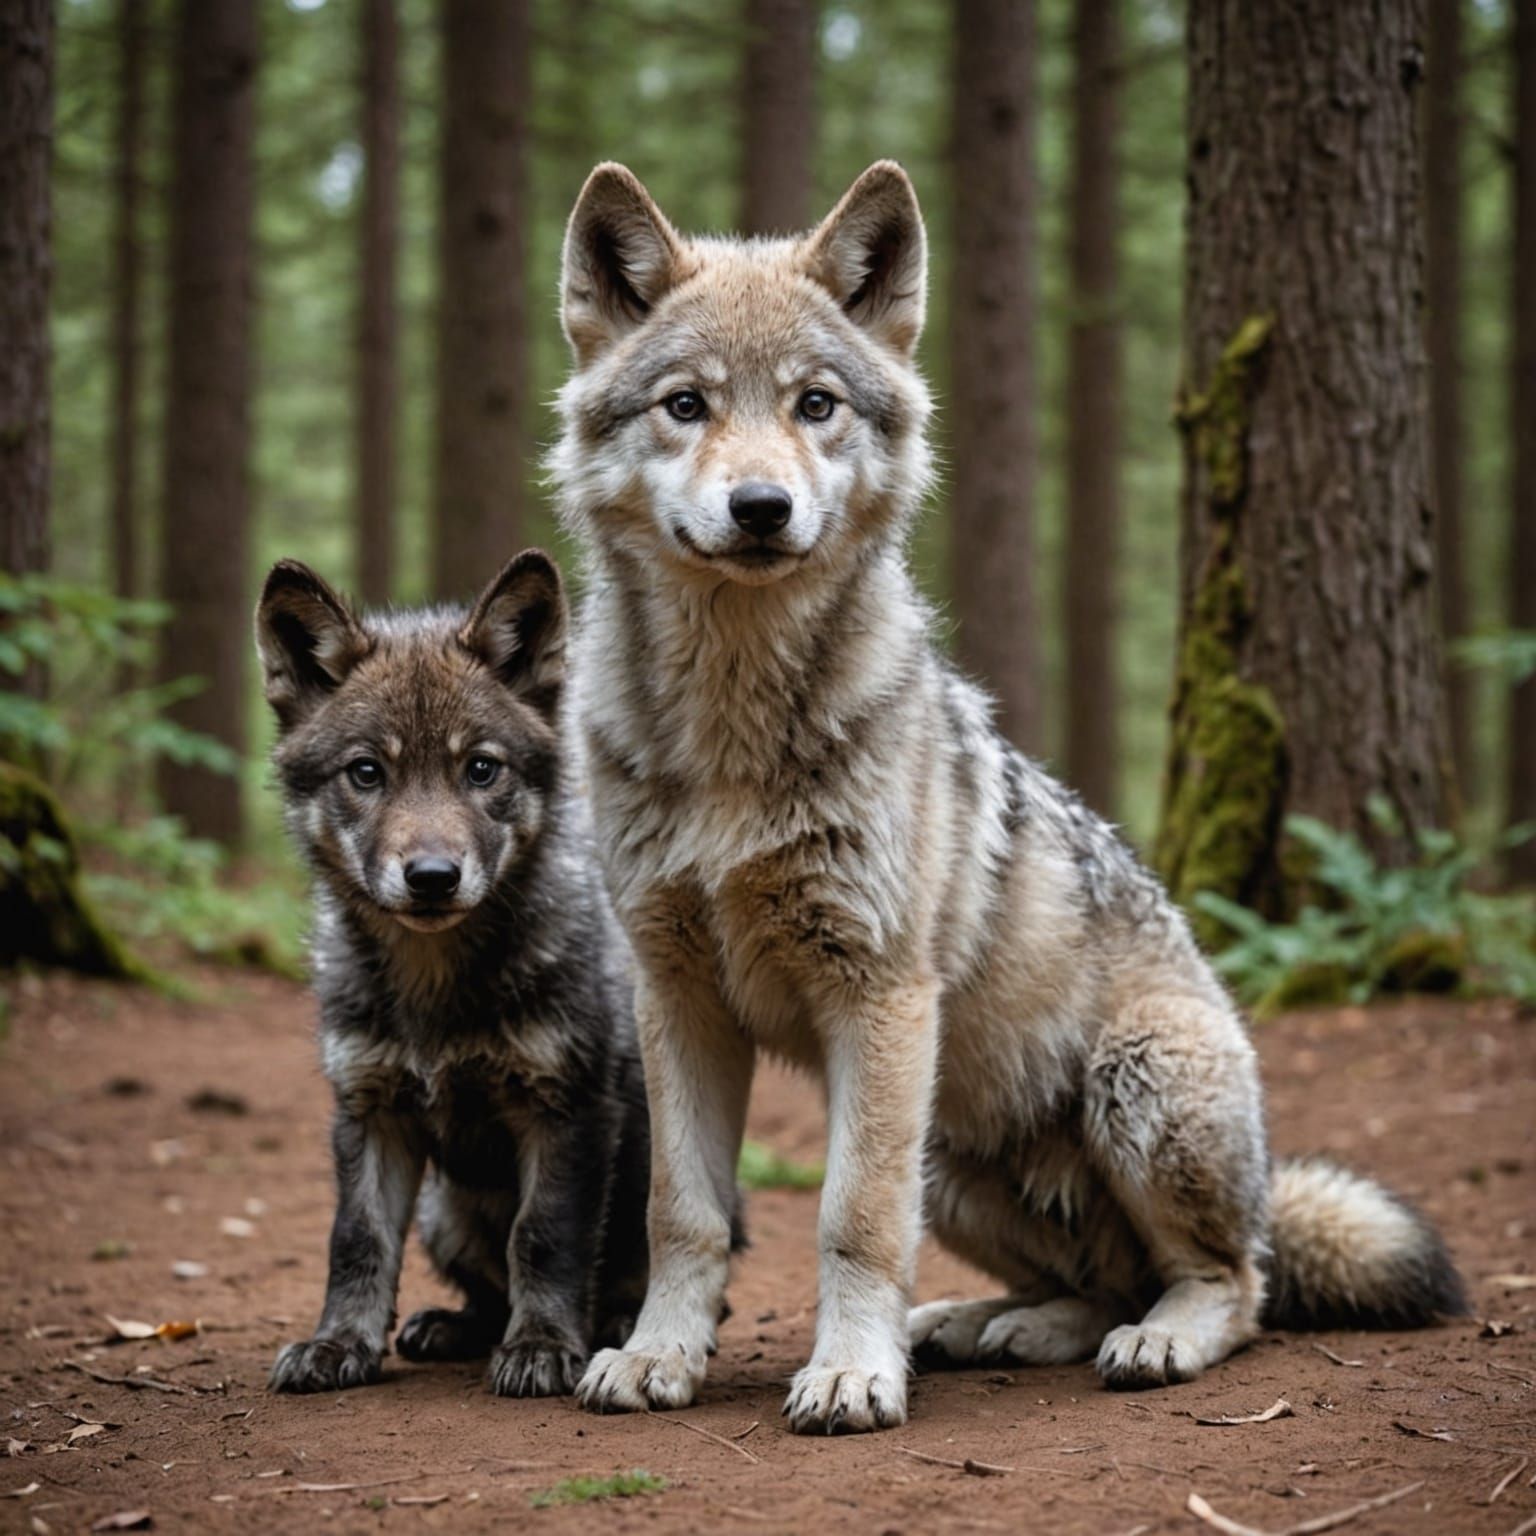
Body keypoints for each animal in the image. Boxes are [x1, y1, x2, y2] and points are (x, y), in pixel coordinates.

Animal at [256, 551, 651, 1398]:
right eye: (366, 772)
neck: (433, 989)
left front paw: (542, 1347)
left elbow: (545, 1237)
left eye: (480, 769)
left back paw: (612, 1325)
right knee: (483, 1291)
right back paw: (453, 1328)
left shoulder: (567, 1109)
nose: (433, 877)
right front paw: (338, 1345)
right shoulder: (369, 1111)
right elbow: (357, 1241)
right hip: (445, 1210)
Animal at [550, 160, 1466, 1435]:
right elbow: (681, 1213)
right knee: (1092, 1284)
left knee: (1233, 1283)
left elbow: (851, 1220)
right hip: (955, 1151)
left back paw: (1153, 1339)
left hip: (1122, 1088)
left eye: (815, 405)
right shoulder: (677, 998)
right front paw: (658, 1358)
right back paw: (984, 1325)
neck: (732, 731)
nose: (761, 508)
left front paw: (850, 1374)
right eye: (686, 406)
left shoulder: (878, 998)